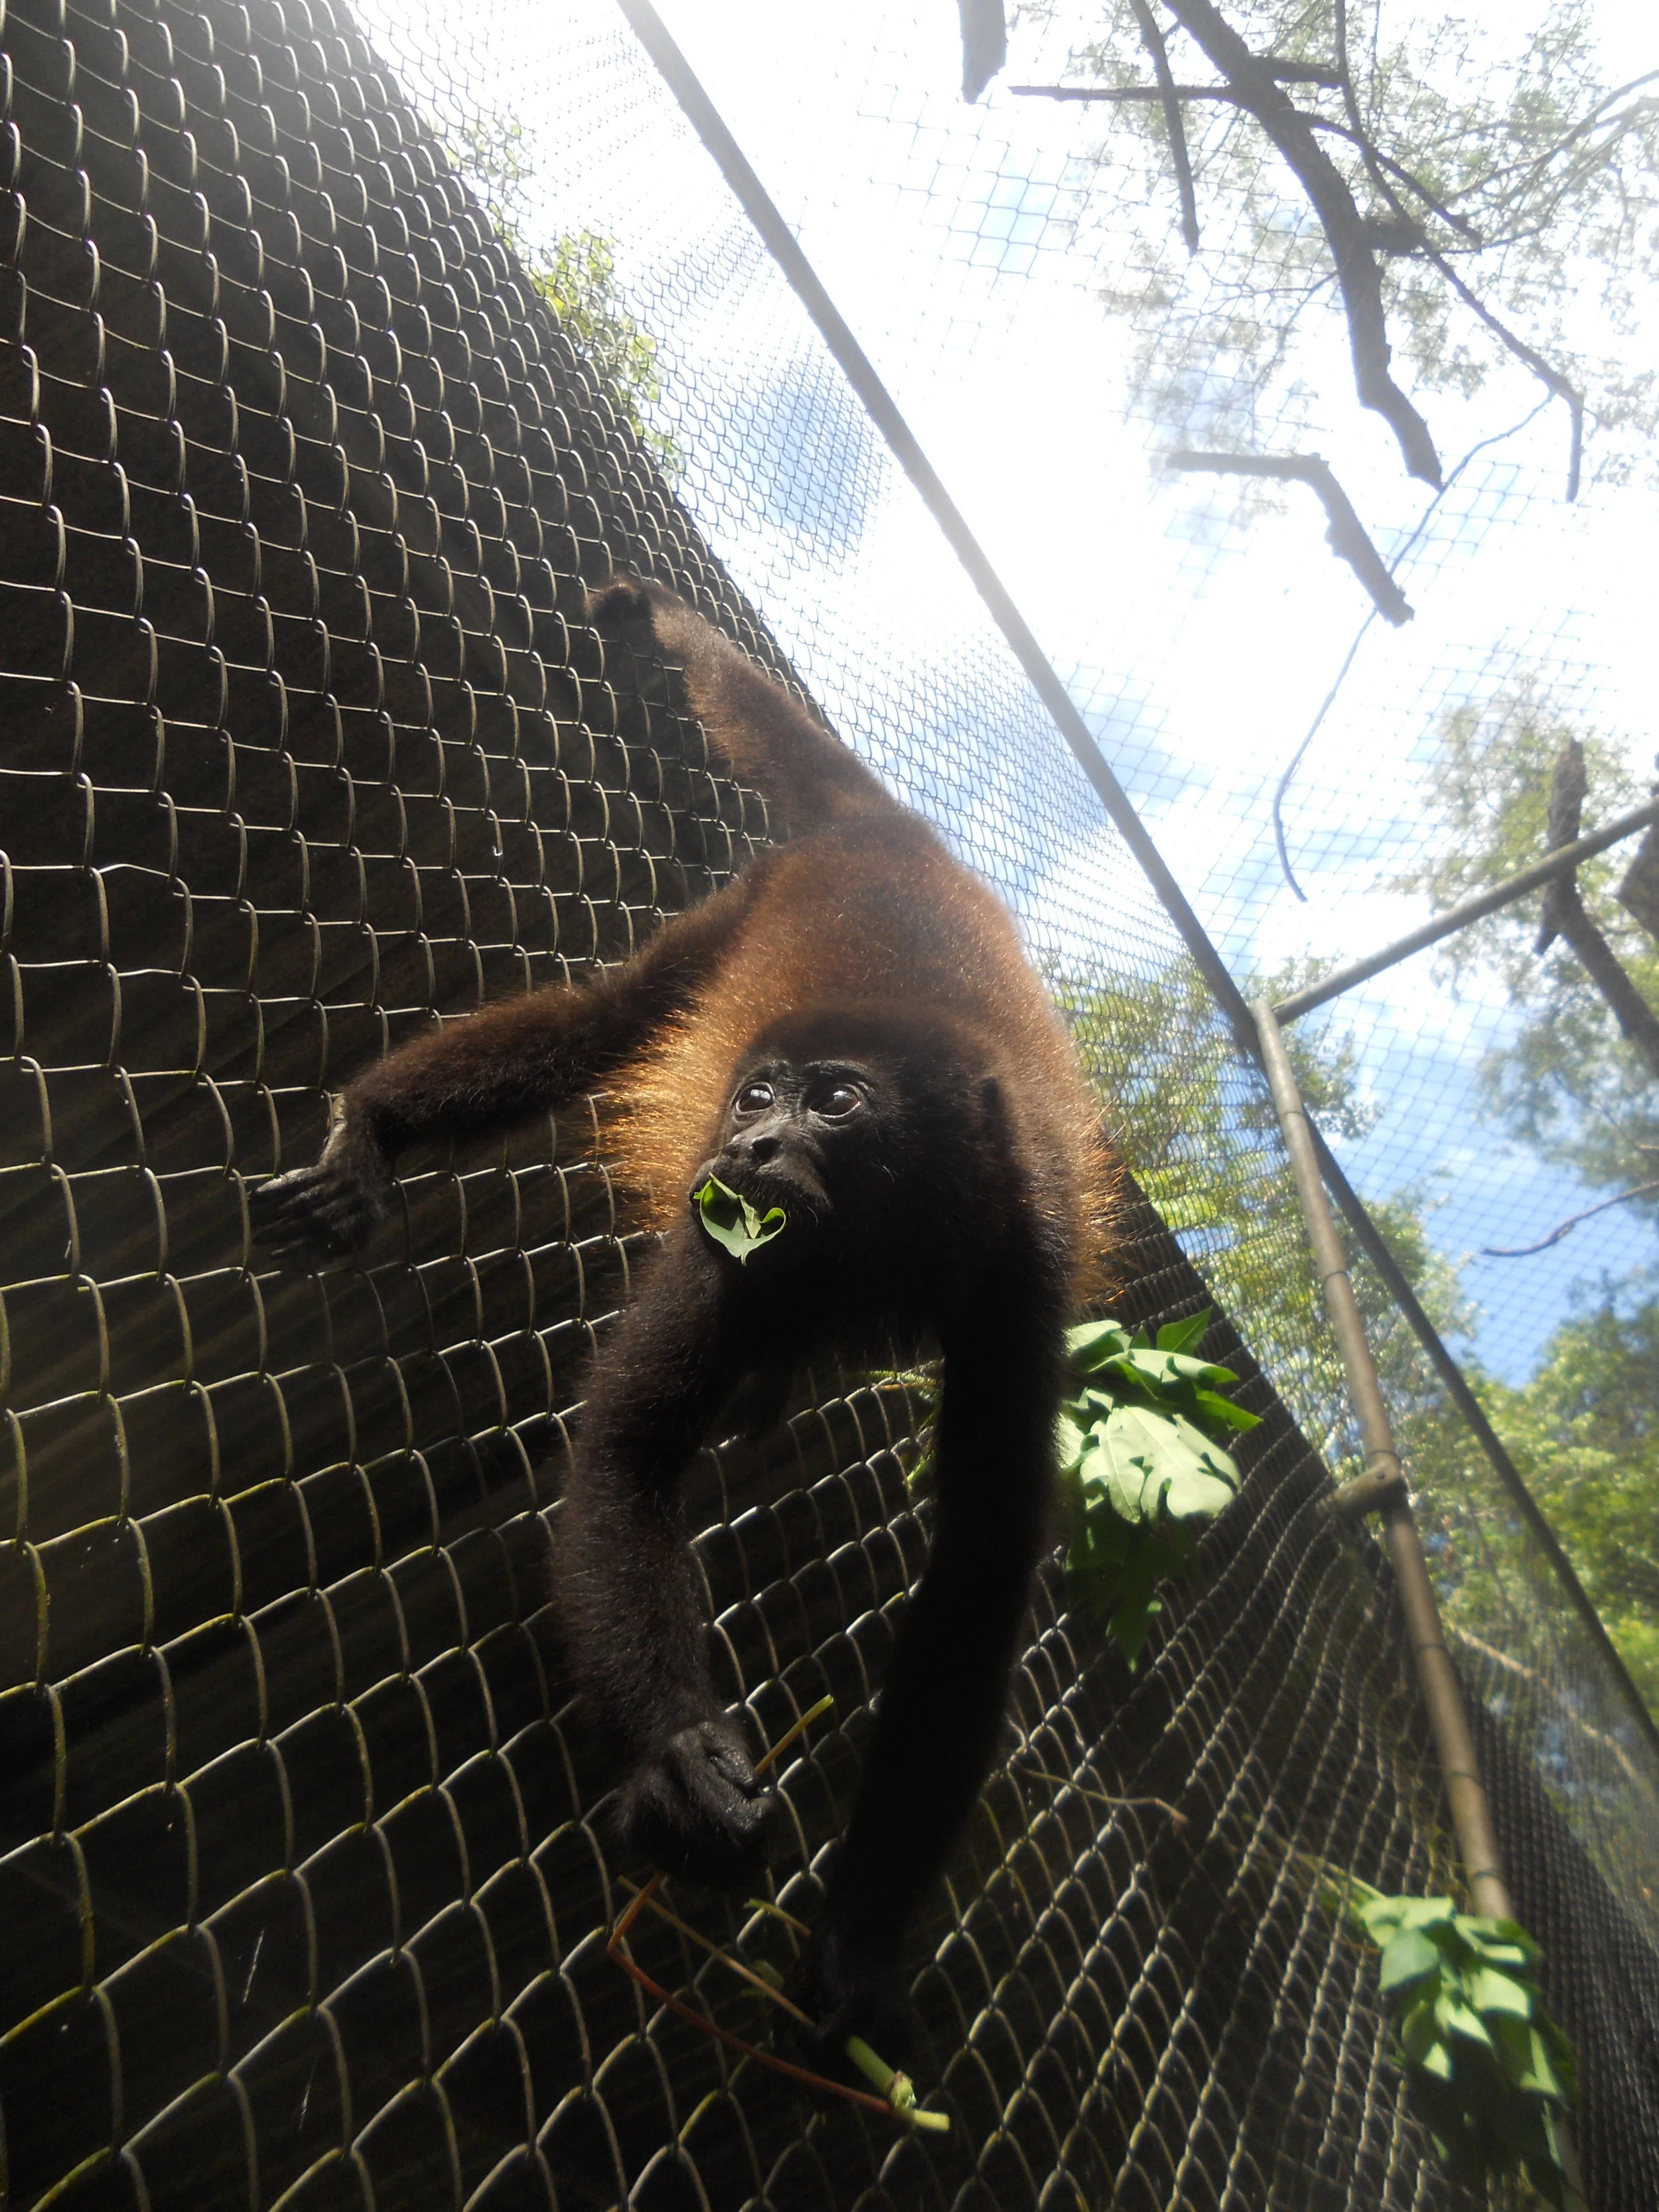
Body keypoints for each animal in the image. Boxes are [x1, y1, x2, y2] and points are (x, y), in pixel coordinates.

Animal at [251, 578, 1118, 2063]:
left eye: (835, 1101)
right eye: (759, 1093)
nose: (753, 1141)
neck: (886, 1230)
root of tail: (891, 836)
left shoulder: (1023, 1258)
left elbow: (979, 1567)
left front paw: (857, 1941)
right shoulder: (725, 1235)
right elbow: (626, 1449)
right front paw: (671, 1755)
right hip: (743, 910)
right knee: (616, 1013)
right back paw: (377, 1122)